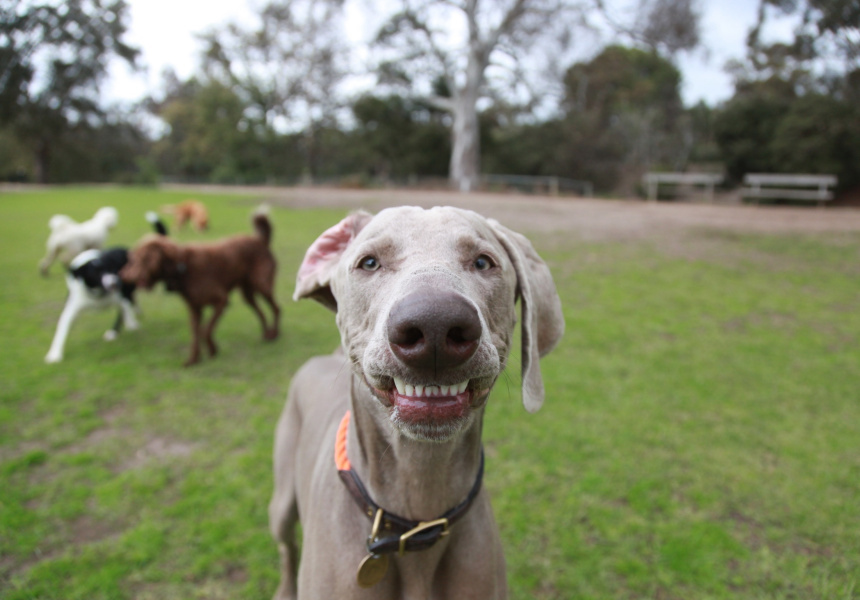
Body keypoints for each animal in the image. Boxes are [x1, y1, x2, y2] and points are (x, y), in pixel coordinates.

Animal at [121, 209, 280, 368]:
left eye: (136, 260)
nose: (123, 275)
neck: (182, 267)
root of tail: (261, 241)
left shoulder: (222, 301)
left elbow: (205, 331)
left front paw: (213, 350)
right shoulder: (195, 310)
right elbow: (196, 336)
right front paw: (193, 360)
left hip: (262, 285)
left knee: (276, 309)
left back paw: (275, 334)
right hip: (247, 293)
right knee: (261, 313)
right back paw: (266, 335)